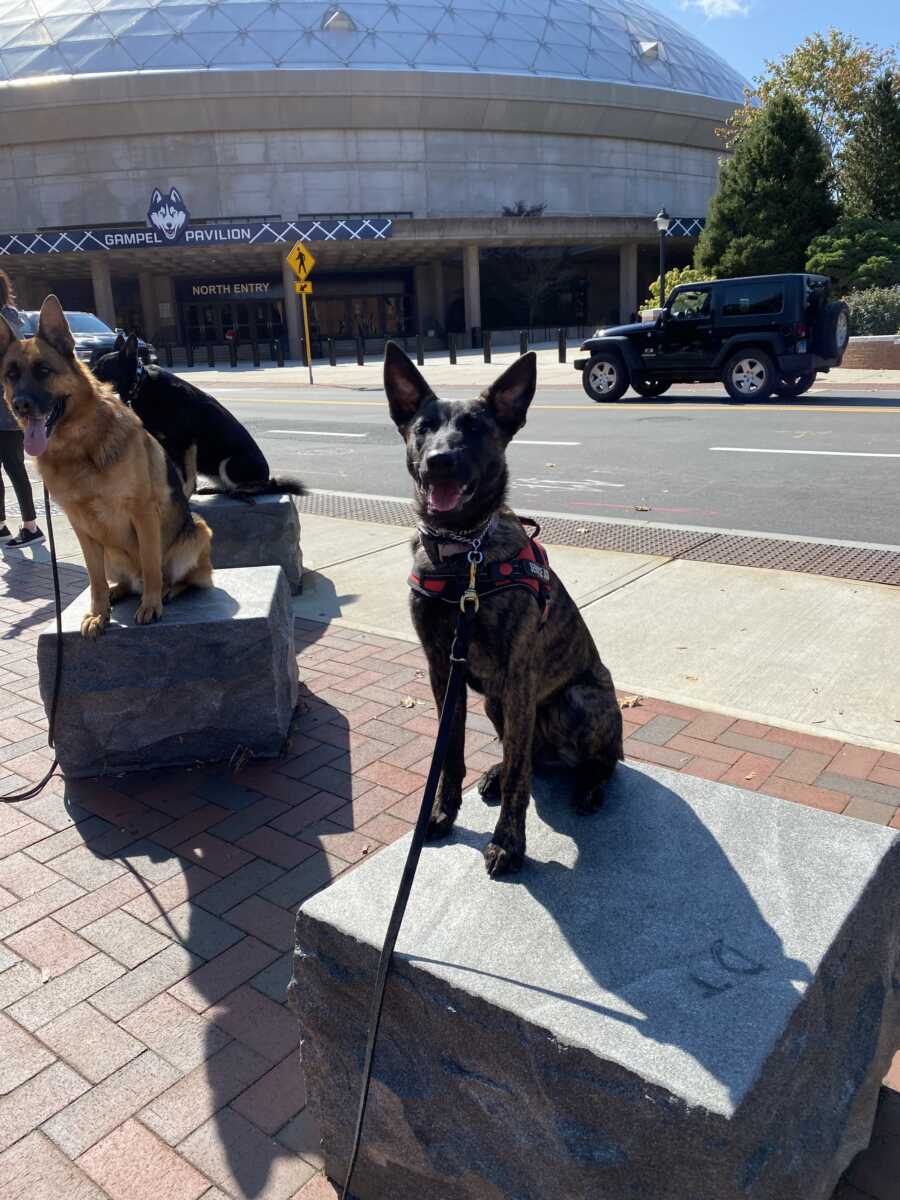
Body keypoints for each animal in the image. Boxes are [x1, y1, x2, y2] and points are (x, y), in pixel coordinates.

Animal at [0, 296, 214, 638]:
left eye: (44, 370)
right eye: (11, 375)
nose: (21, 404)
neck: (78, 447)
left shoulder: (143, 512)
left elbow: (151, 564)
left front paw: (152, 604)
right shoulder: (80, 524)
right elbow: (94, 577)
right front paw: (99, 612)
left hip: (198, 533)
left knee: (180, 578)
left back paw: (166, 591)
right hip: (111, 554)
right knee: (120, 579)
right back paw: (118, 592)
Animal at [93, 333, 307, 496]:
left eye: (100, 371)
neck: (140, 384)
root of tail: (267, 477)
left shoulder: (185, 443)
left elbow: (187, 478)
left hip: (230, 462)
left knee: (260, 487)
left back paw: (240, 491)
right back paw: (216, 490)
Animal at [384, 343, 624, 878]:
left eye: (475, 429)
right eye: (423, 427)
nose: (441, 462)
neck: (463, 555)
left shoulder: (517, 679)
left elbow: (520, 777)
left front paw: (509, 844)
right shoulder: (442, 672)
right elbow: (450, 755)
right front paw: (441, 813)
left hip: (574, 699)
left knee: (599, 761)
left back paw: (589, 786)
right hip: (496, 703)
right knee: (531, 755)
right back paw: (495, 772)